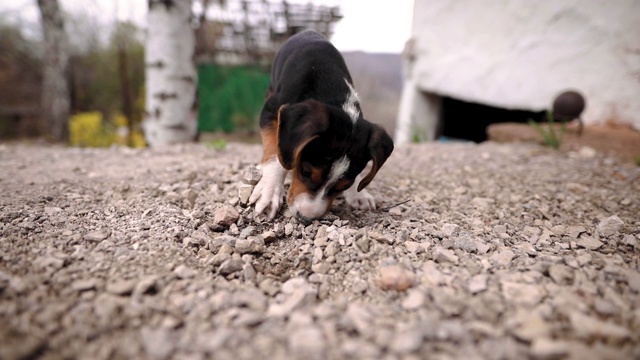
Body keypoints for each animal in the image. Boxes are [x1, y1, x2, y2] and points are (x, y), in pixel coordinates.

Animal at [249, 30, 390, 222]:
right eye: (305, 172)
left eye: (343, 186)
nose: (306, 218)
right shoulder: (270, 110)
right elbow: (278, 152)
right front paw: (269, 193)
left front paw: (358, 194)